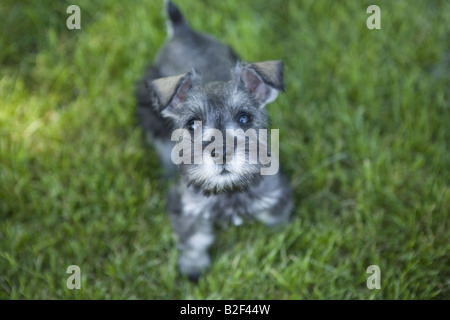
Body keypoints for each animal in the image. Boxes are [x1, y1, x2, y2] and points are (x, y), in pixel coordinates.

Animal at [135, 0, 294, 280]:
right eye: (192, 123)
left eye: (244, 118)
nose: (221, 153)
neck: (228, 192)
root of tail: (182, 30)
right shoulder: (187, 206)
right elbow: (194, 238)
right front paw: (193, 268)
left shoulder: (274, 193)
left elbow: (276, 218)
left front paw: (282, 238)